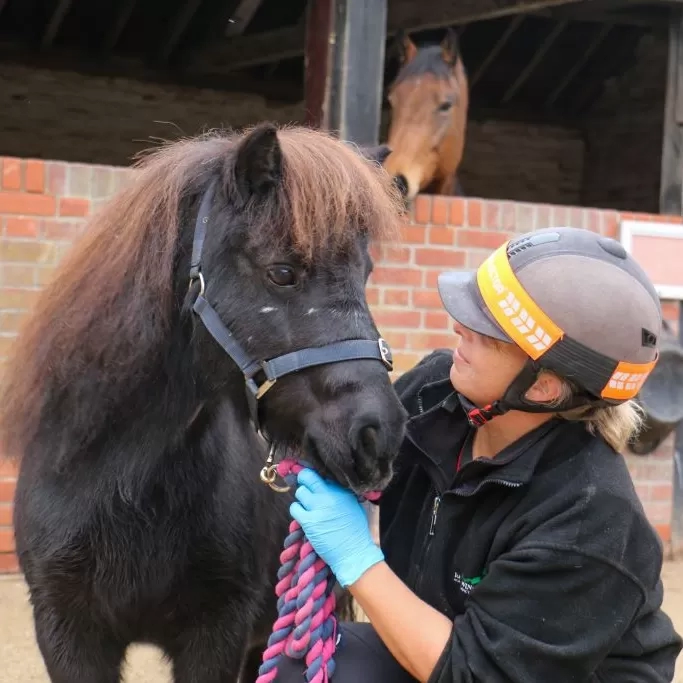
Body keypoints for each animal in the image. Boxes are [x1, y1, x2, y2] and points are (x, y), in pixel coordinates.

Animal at [0, 124, 406, 683]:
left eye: (365, 274)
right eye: (282, 272)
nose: (377, 436)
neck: (121, 481)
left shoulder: (219, 633)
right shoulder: (68, 634)